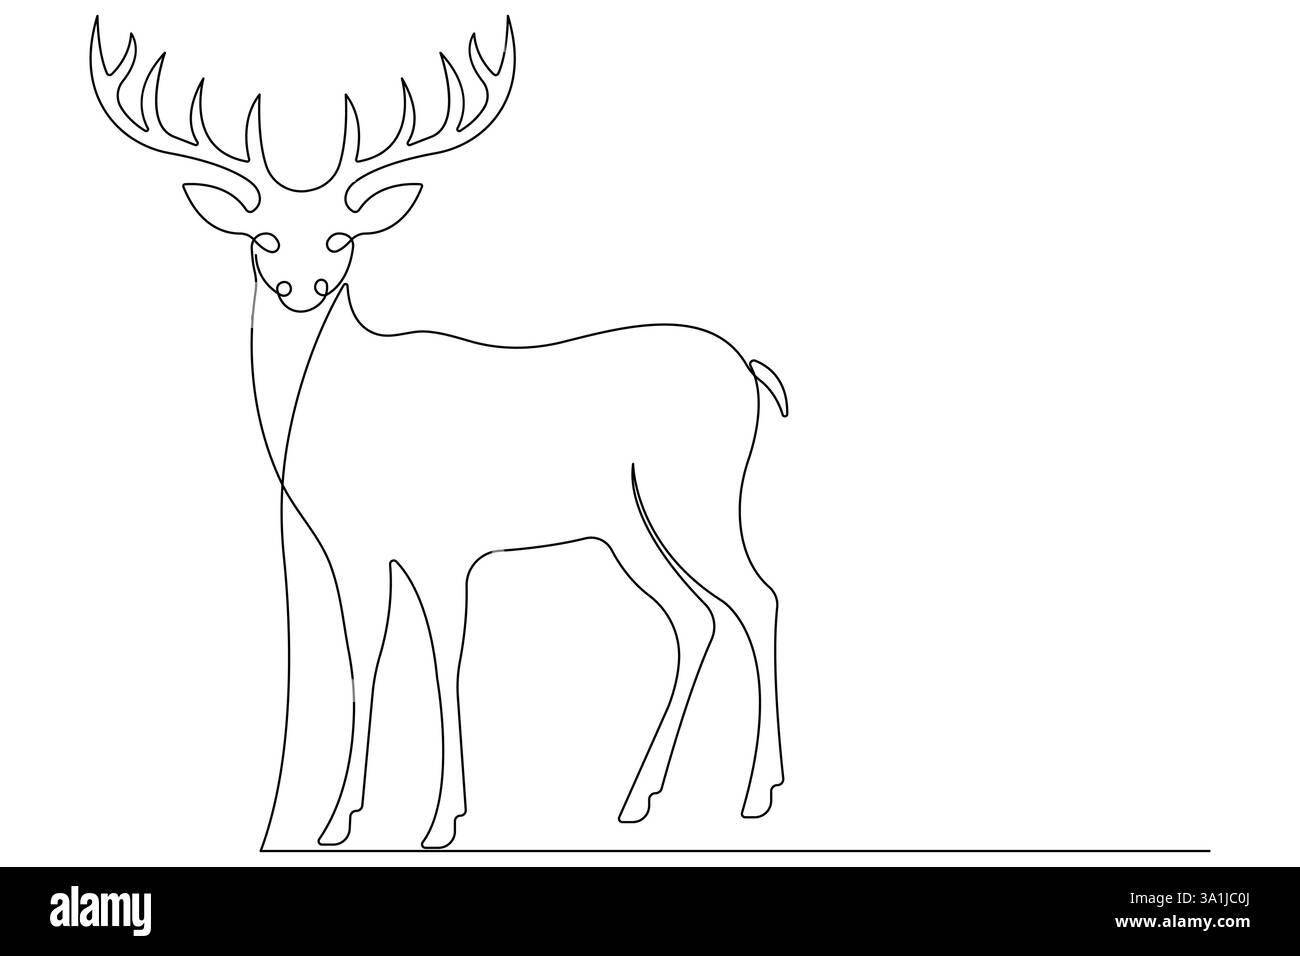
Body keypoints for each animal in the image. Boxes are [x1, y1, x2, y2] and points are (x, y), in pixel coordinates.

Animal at [89, 16, 788, 849]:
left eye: (341, 237)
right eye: (264, 238)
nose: (301, 287)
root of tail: (751, 371)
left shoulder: (446, 544)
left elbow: (444, 660)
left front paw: (443, 818)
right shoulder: (352, 548)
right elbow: (363, 661)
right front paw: (338, 819)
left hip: (696, 495)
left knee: (757, 599)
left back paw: (757, 792)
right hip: (624, 525)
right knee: (694, 617)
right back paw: (636, 798)